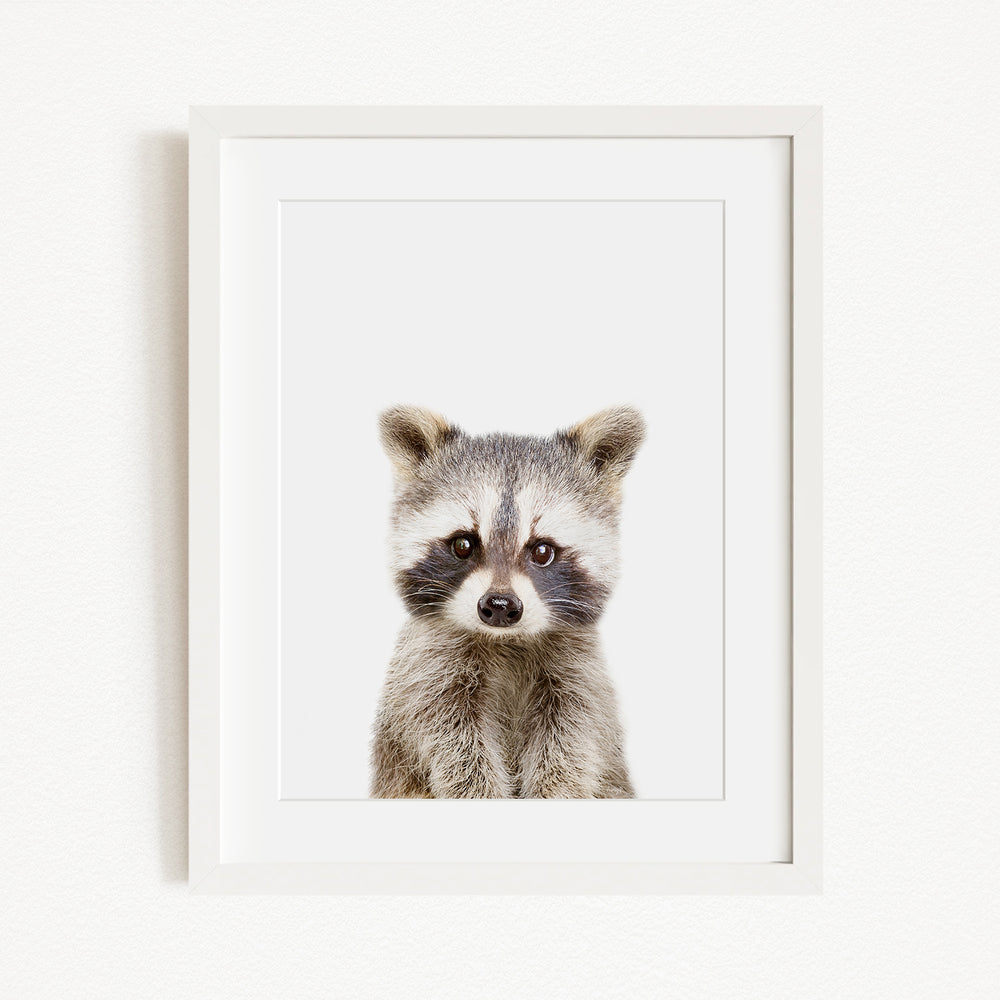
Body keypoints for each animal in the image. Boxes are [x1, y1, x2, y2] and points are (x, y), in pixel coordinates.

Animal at [369, 404, 644, 799]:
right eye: (463, 544)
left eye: (542, 550)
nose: (500, 606)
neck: (506, 641)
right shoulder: (427, 669)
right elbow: (450, 739)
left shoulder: (579, 674)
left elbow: (575, 736)